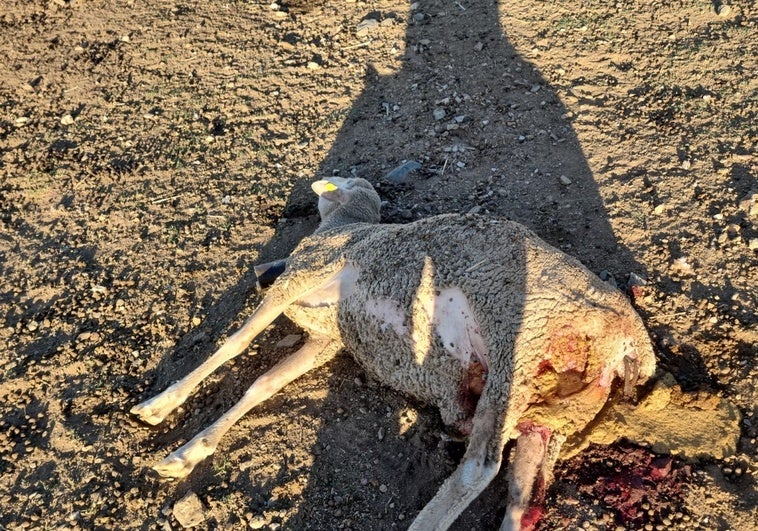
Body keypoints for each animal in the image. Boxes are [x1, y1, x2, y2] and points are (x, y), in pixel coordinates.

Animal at [134, 178, 656, 531]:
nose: (263, 272)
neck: (349, 227)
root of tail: (632, 344)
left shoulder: (301, 276)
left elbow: (234, 344)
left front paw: (158, 406)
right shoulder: (328, 340)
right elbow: (261, 385)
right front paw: (187, 453)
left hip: (519, 348)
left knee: (479, 467)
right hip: (549, 413)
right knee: (523, 499)